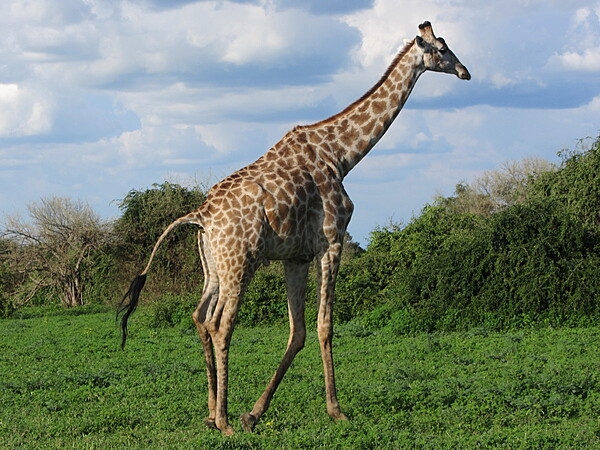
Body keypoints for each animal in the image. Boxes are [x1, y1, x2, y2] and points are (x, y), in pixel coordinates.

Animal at [119, 22, 472, 436]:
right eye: (442, 49)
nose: (465, 72)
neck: (342, 155)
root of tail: (201, 215)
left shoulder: (296, 257)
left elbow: (298, 330)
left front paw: (254, 413)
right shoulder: (332, 241)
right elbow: (324, 326)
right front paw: (336, 410)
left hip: (214, 267)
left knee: (200, 317)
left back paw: (211, 412)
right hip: (241, 264)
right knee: (222, 324)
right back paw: (223, 420)